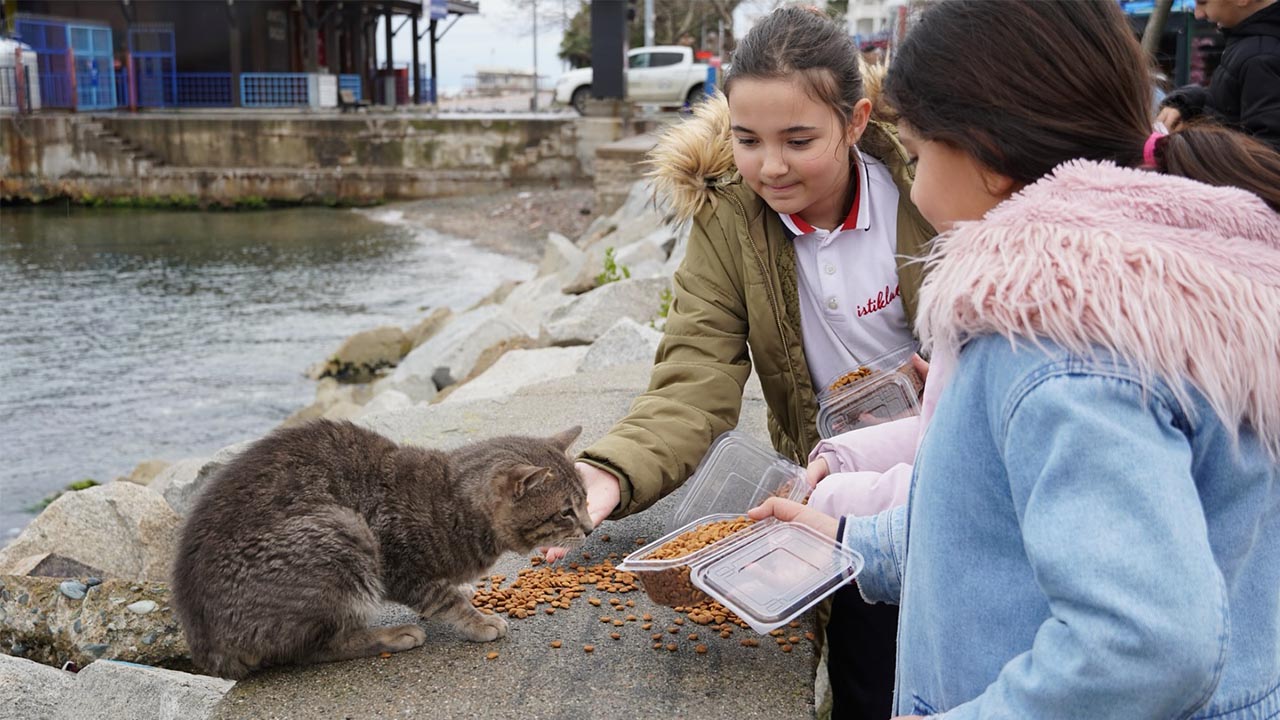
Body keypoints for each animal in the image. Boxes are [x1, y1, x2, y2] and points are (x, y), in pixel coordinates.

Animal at [170, 417, 588, 676]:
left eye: (584, 499)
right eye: (565, 512)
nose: (586, 527)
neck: (450, 501)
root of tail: (207, 647)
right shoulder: (397, 564)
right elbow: (443, 599)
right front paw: (477, 620)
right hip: (344, 532)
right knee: (315, 648)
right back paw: (392, 636)